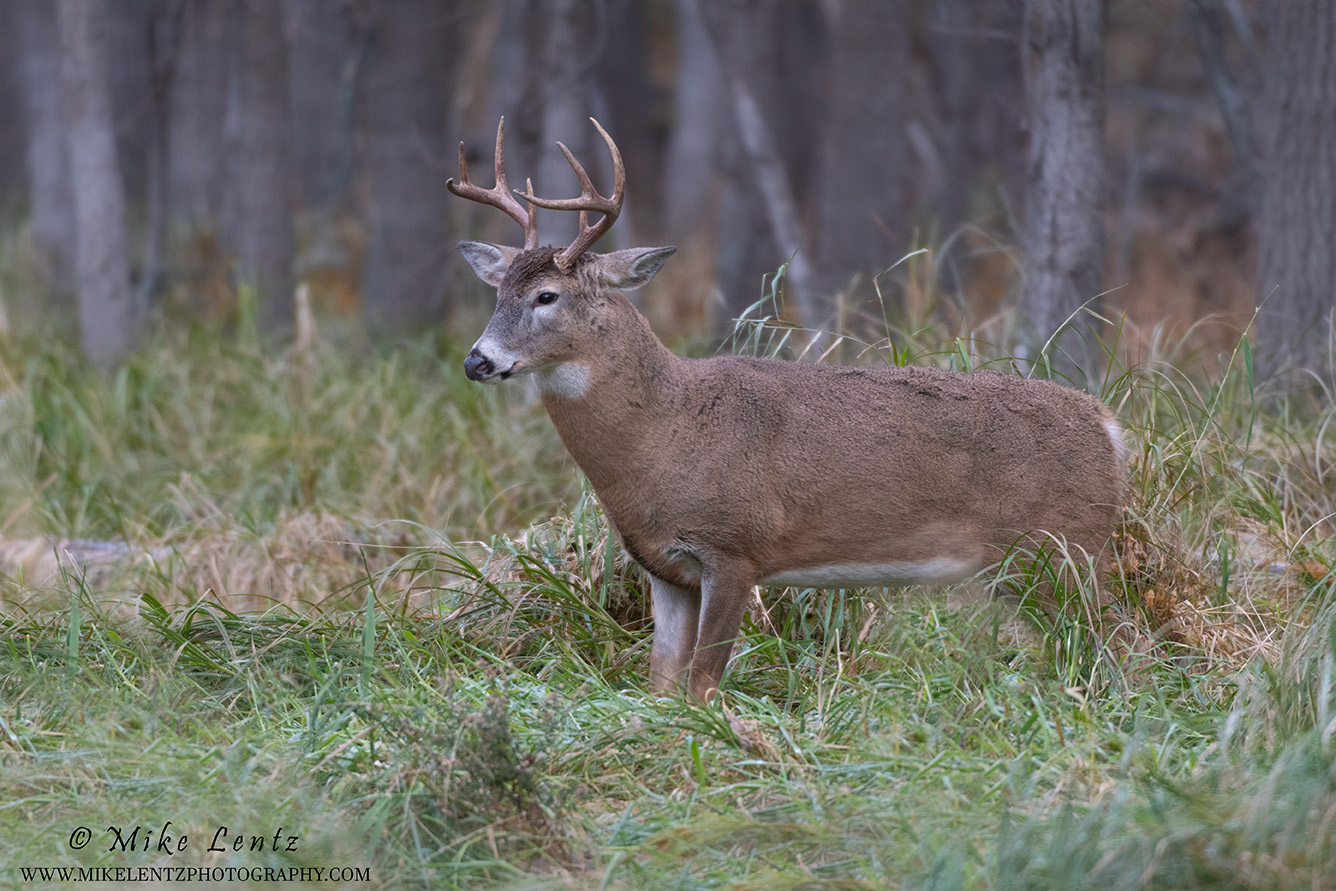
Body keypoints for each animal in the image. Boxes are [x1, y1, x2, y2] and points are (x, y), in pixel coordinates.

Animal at [451, 120, 1127, 705]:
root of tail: (1110, 427)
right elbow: (662, 683)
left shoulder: (736, 546)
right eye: (498, 292)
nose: (477, 361)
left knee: (1113, 640)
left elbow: (702, 683)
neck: (665, 433)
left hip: (1064, 548)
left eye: (547, 296)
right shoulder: (666, 569)